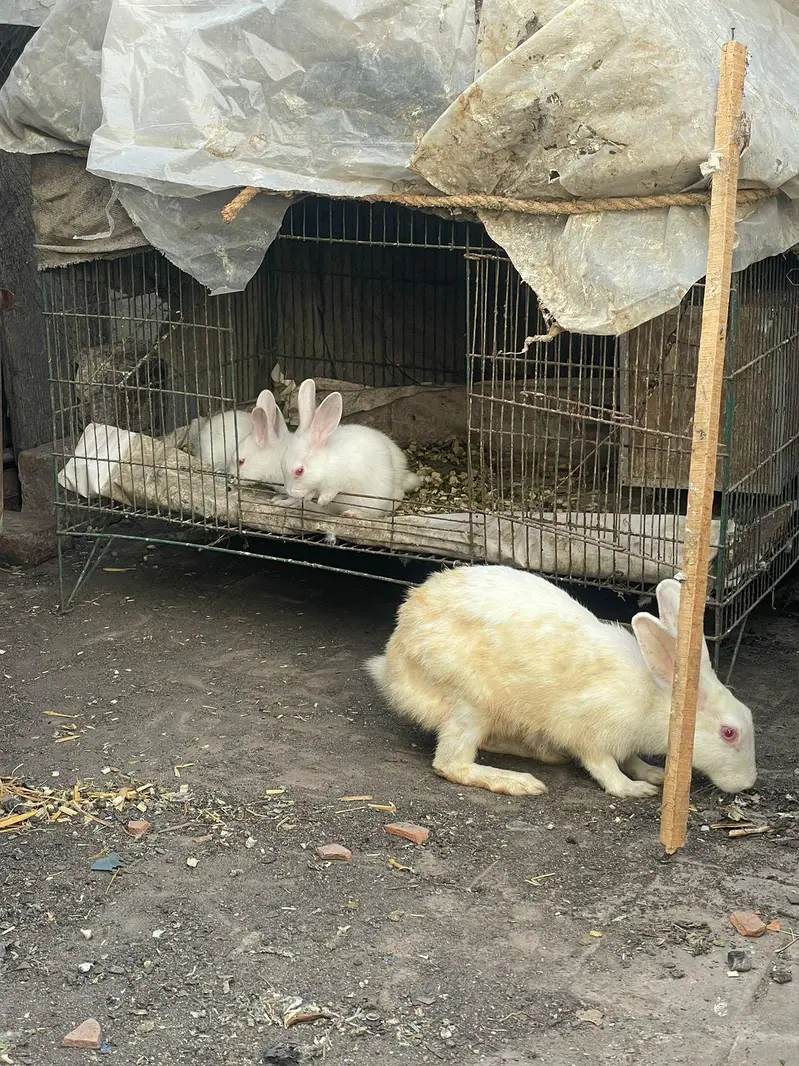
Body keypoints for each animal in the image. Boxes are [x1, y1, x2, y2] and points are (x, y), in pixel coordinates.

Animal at [276, 379, 421, 518]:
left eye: (299, 471)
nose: (290, 491)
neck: (326, 463)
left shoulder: (345, 477)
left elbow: (334, 489)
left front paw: (323, 499)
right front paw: (308, 497)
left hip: (374, 499)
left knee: (384, 507)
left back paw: (353, 513)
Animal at [365, 566, 756, 800]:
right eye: (729, 733)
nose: (749, 782)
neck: (656, 699)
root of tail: (393, 662)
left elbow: (631, 759)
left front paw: (654, 775)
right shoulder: (589, 732)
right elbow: (605, 768)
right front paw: (634, 790)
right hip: (469, 703)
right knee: (451, 763)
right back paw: (519, 782)